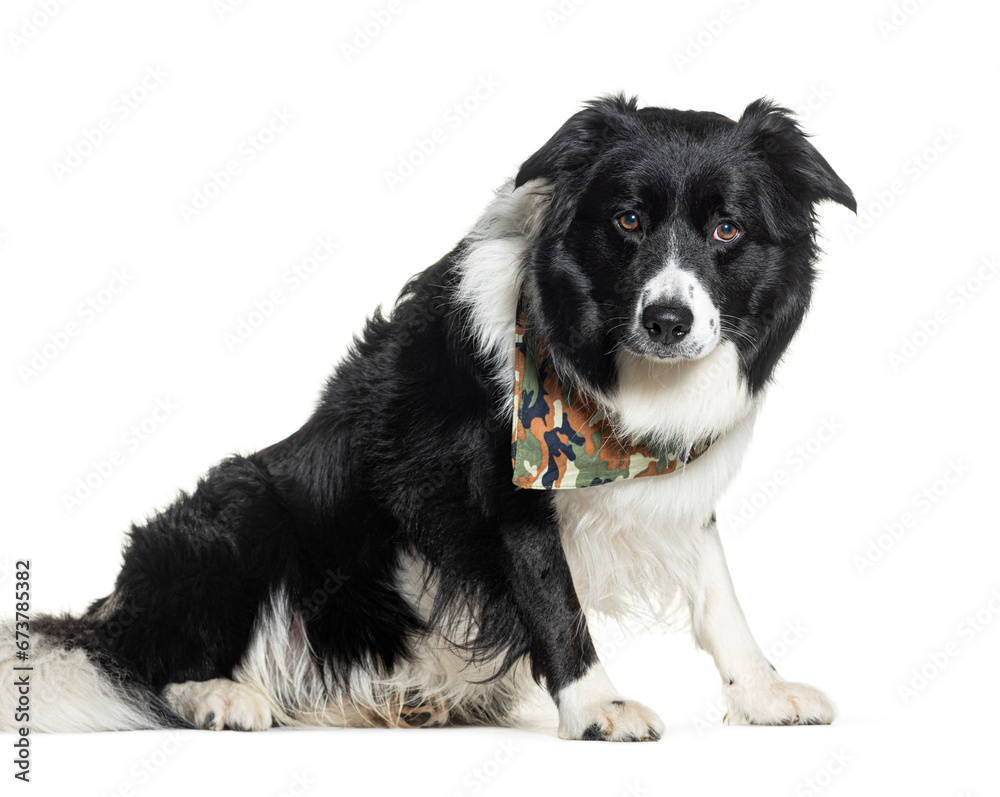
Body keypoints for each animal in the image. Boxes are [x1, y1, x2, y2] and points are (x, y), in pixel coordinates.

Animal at [3, 95, 856, 740]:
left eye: (726, 229)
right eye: (628, 221)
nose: (669, 320)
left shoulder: (679, 484)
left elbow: (718, 591)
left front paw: (762, 690)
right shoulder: (507, 489)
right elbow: (557, 602)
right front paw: (597, 707)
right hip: (240, 510)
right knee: (142, 666)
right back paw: (223, 695)